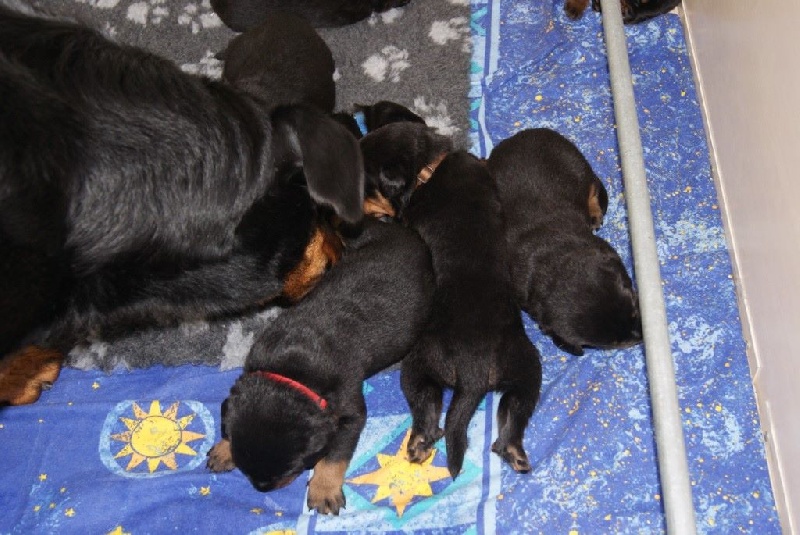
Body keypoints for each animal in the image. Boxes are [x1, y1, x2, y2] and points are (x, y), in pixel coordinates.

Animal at [206, 218, 435, 515]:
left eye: (291, 468)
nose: (261, 488)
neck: (290, 370)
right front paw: (224, 449)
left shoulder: (350, 411)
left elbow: (334, 455)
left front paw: (324, 490)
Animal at [486, 128, 642, 356]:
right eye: (613, 344)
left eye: (634, 311)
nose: (641, 336)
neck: (555, 263)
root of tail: (518, 136)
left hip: (578, 165)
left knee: (593, 188)